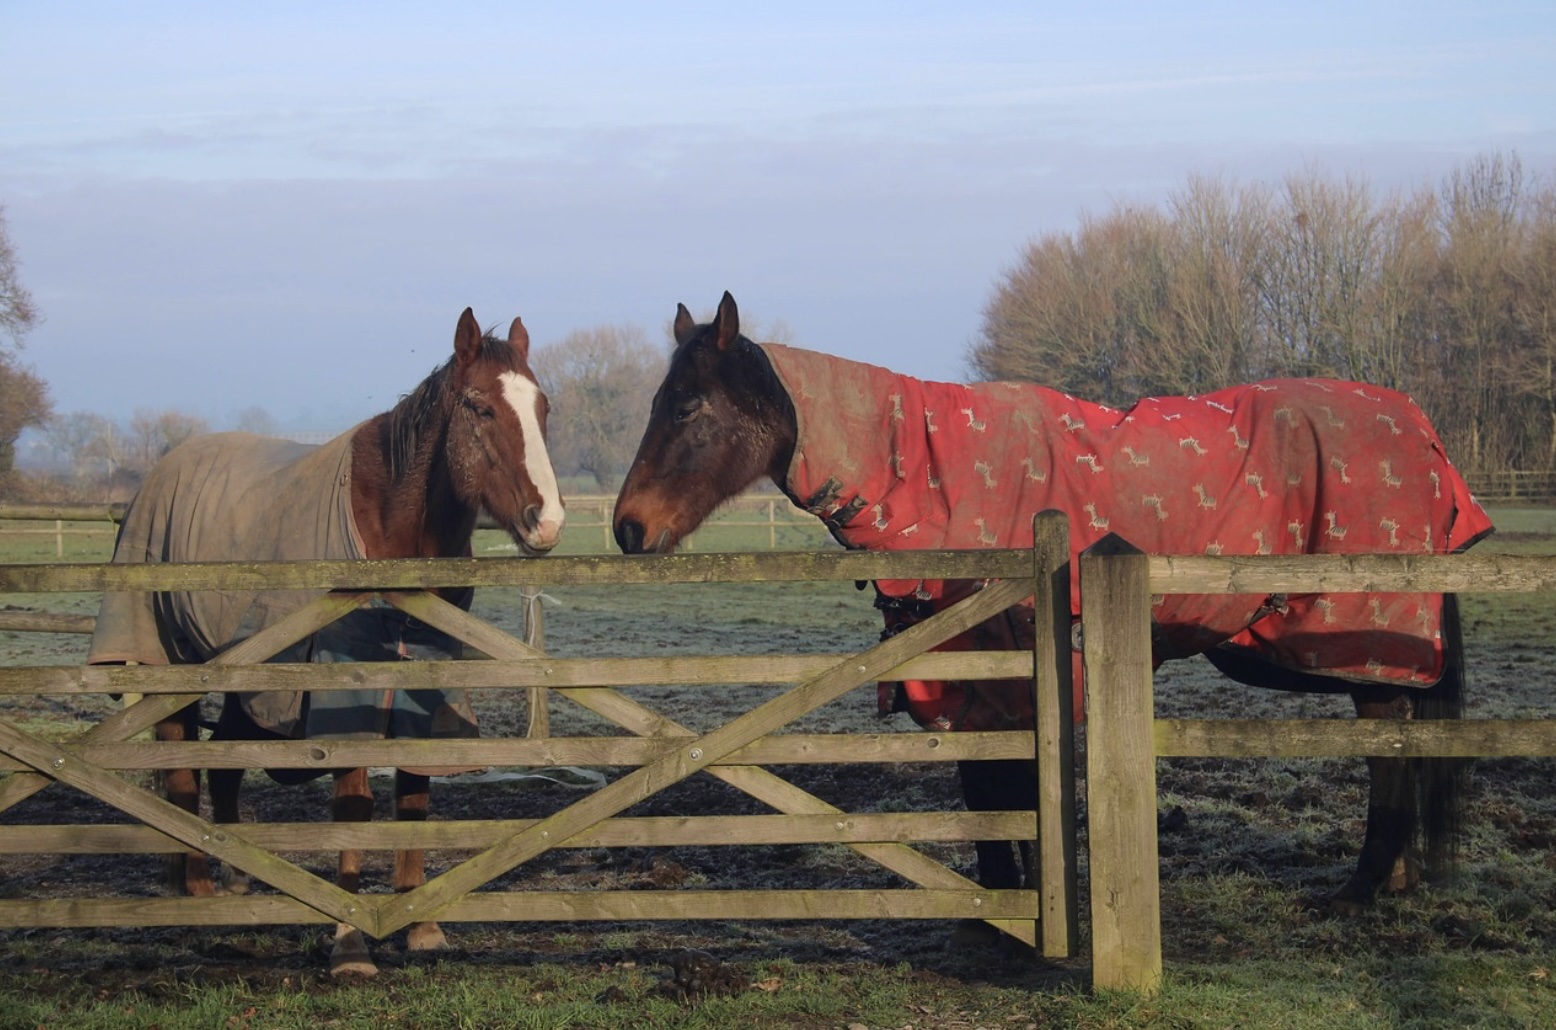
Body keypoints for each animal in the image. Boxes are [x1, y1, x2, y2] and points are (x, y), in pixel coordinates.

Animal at [87, 308, 565, 975]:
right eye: (480, 407)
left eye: (543, 407)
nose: (546, 520)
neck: (391, 522)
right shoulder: (346, 689)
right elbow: (354, 805)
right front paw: (350, 941)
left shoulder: (424, 680)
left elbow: (414, 799)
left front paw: (420, 924)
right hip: (174, 669)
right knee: (180, 767)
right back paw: (200, 885)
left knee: (226, 766)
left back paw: (240, 874)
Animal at [612, 291, 1495, 944]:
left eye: (688, 408)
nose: (627, 529)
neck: (931, 474)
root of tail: (1418, 431)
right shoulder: (959, 677)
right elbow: (983, 787)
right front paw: (995, 905)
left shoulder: (1010, 669)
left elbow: (1009, 784)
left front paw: (1022, 907)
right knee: (1400, 743)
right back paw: (1393, 880)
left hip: (1358, 640)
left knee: (1390, 748)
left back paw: (1361, 889)